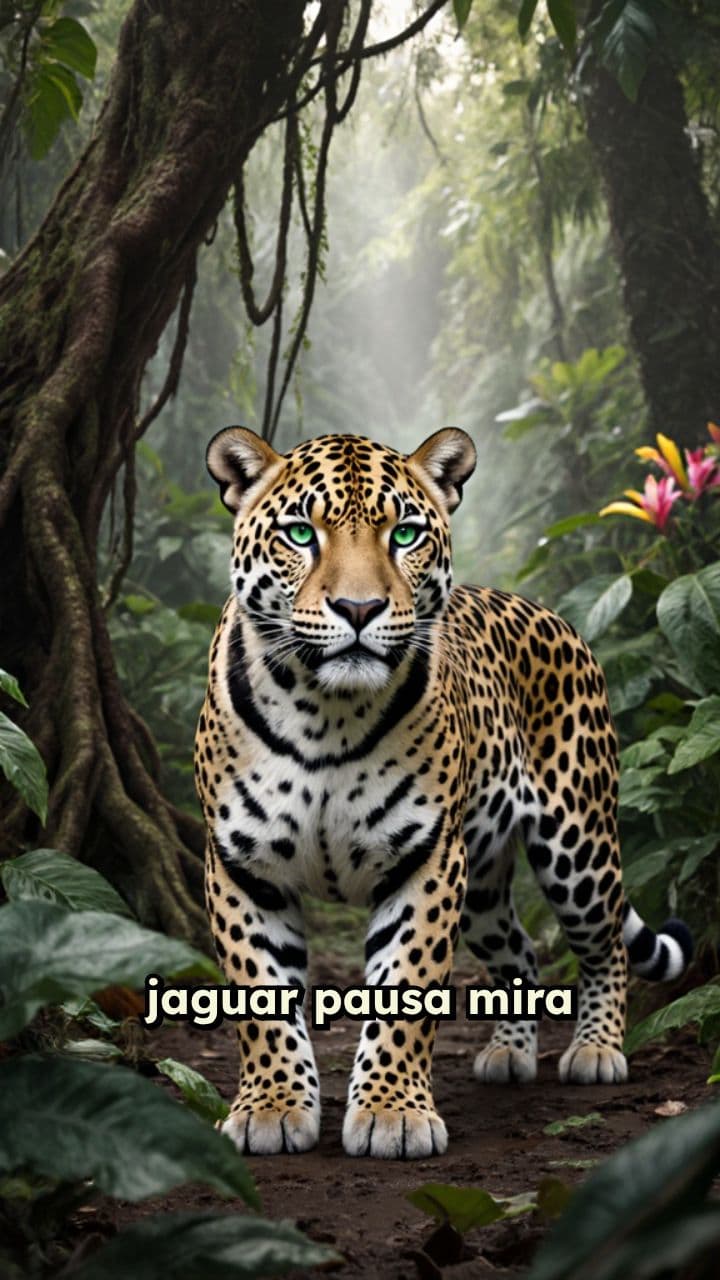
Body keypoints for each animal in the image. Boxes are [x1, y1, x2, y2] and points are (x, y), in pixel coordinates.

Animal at [195, 425, 692, 1160]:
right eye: (300, 533)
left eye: (404, 534)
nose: (359, 609)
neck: (323, 712)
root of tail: (555, 616)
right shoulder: (241, 864)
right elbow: (262, 1000)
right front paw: (273, 1107)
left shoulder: (425, 859)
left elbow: (406, 990)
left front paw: (391, 1113)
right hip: (482, 878)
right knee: (518, 950)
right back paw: (509, 1054)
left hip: (577, 844)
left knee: (606, 946)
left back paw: (597, 1051)